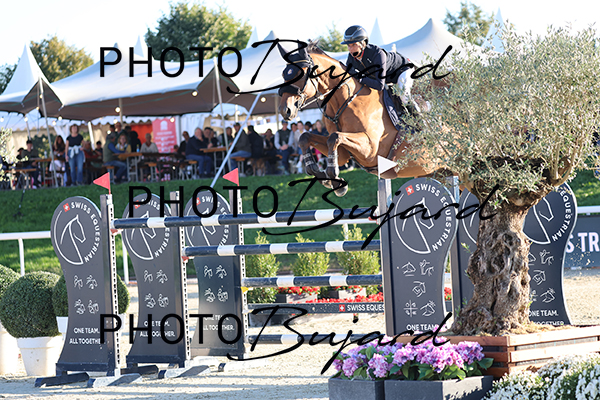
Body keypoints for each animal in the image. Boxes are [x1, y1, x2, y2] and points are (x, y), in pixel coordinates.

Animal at [278, 42, 441, 196]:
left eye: (302, 74)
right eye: (284, 74)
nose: (285, 110)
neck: (345, 101)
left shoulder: (371, 149)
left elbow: (335, 137)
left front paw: (334, 180)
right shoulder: (344, 153)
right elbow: (305, 137)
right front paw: (321, 175)